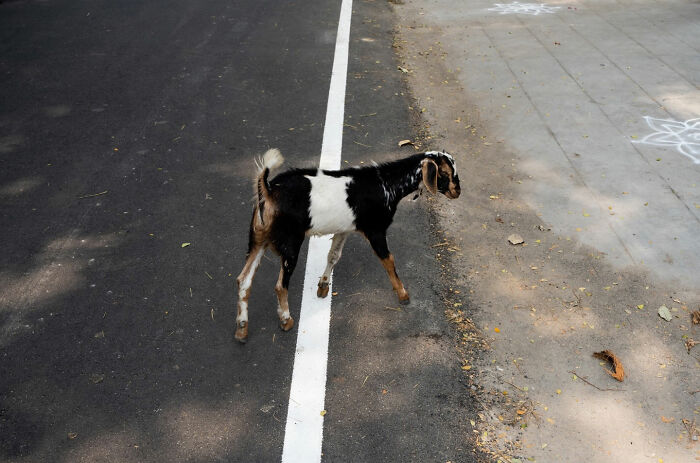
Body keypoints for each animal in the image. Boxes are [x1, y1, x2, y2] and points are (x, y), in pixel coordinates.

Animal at [234, 148, 461, 343]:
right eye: (445, 173)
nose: (457, 192)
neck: (386, 184)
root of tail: (268, 189)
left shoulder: (344, 229)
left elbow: (333, 255)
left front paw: (323, 286)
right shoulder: (375, 230)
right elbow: (389, 260)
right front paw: (403, 295)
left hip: (258, 239)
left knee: (244, 280)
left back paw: (242, 329)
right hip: (290, 244)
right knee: (280, 285)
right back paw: (286, 320)